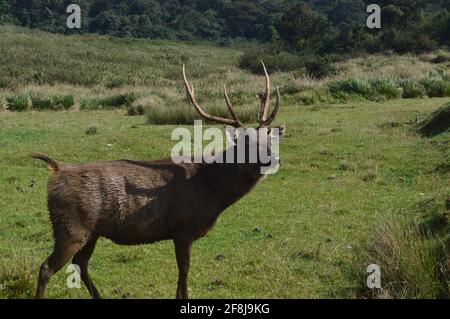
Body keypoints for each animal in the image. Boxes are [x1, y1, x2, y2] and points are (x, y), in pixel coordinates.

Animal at [31, 62, 286, 300]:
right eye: (246, 143)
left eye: (269, 139)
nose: (273, 159)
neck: (212, 194)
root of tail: (57, 169)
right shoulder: (183, 227)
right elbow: (184, 272)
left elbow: (181, 275)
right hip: (70, 226)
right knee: (47, 267)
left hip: (91, 231)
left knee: (80, 263)